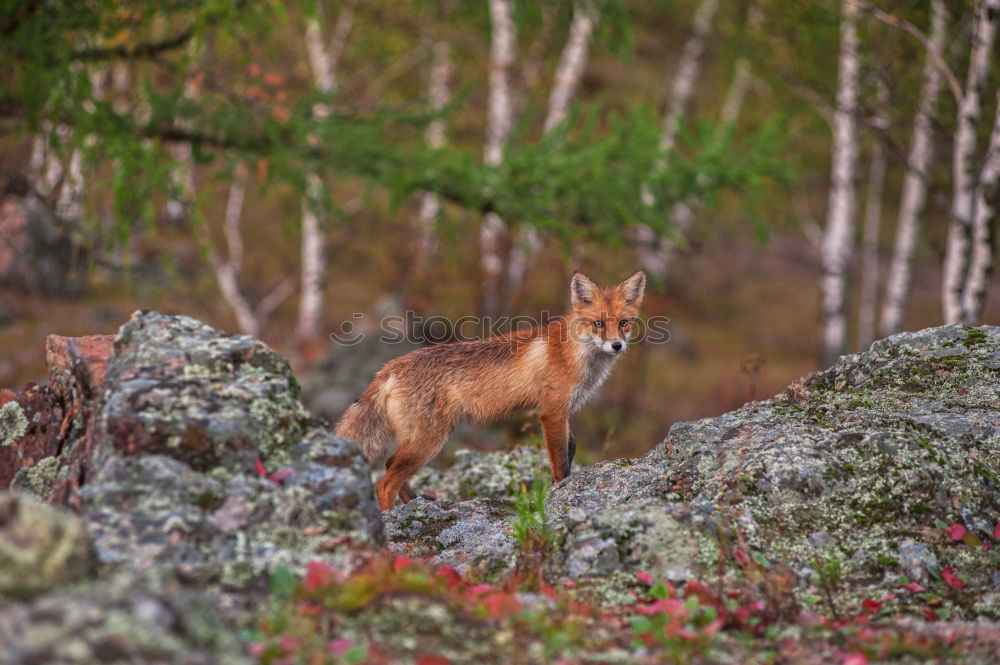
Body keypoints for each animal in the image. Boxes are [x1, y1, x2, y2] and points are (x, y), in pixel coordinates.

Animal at [336, 270, 648, 508]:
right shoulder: (552, 412)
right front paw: (562, 492)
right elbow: (560, 464)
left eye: (623, 323)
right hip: (428, 442)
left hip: (414, 441)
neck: (575, 354)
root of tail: (389, 367)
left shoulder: (565, 412)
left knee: (389, 465)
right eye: (598, 323)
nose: (617, 345)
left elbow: (571, 449)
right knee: (384, 483)